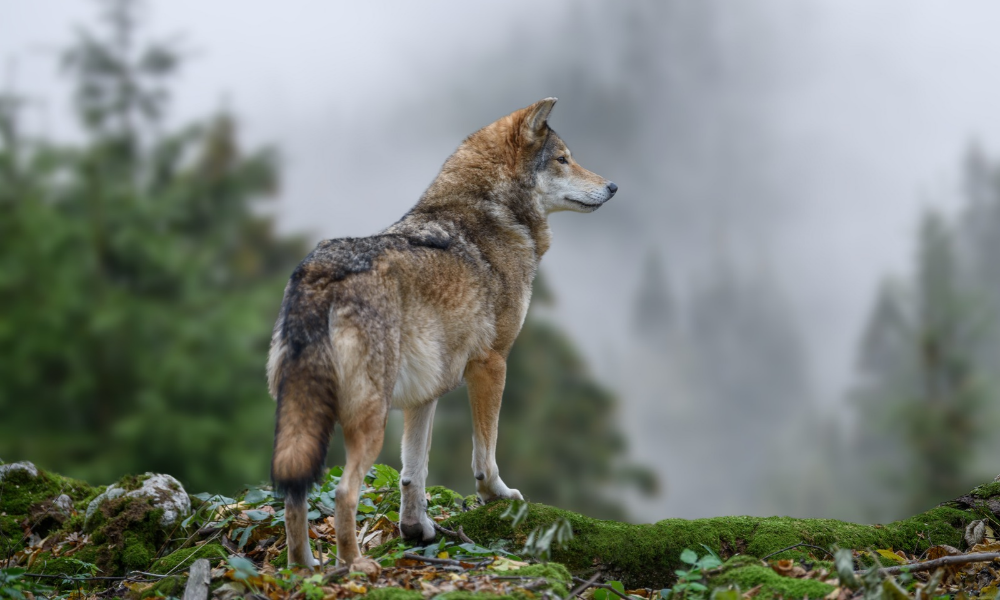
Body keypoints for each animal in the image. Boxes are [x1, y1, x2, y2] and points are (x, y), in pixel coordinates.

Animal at [266, 98, 617, 576]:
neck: (491, 214)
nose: (613, 186)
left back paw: (304, 568)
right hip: (369, 419)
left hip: (305, 417)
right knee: (342, 492)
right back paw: (355, 566)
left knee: (294, 494)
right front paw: (496, 496)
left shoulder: (425, 392)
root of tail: (321, 275)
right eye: (563, 159)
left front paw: (416, 529)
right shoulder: (491, 363)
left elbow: (413, 472)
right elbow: (485, 454)